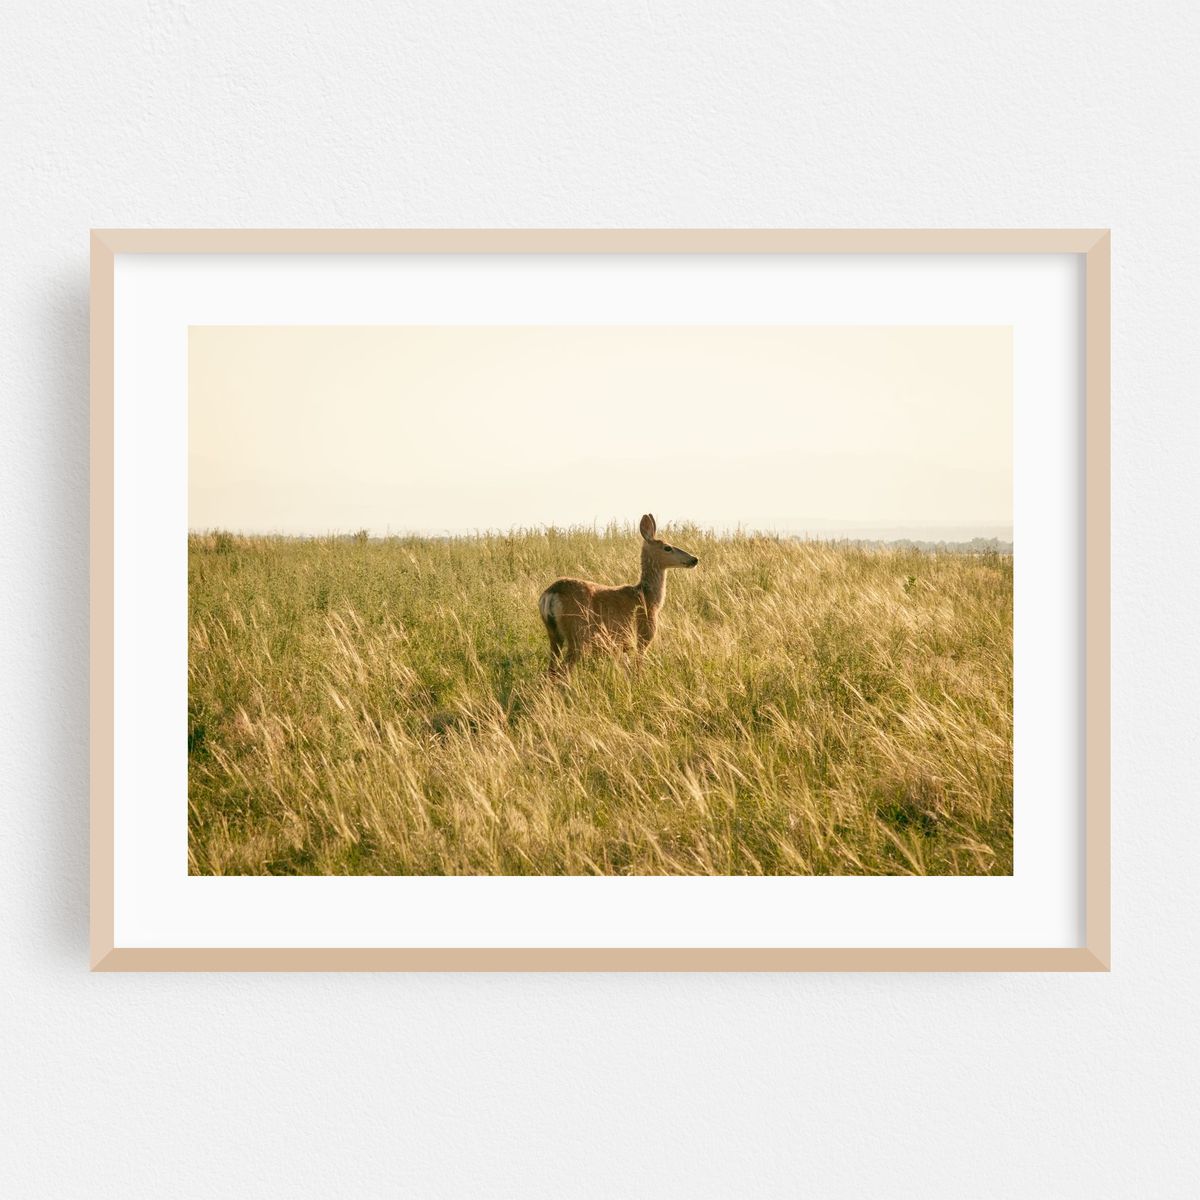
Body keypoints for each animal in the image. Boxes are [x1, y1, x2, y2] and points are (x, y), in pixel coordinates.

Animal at [538, 513, 699, 676]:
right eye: (667, 547)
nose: (694, 559)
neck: (648, 597)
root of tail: (551, 593)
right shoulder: (643, 635)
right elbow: (638, 666)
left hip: (554, 635)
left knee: (551, 671)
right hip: (578, 633)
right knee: (561, 671)